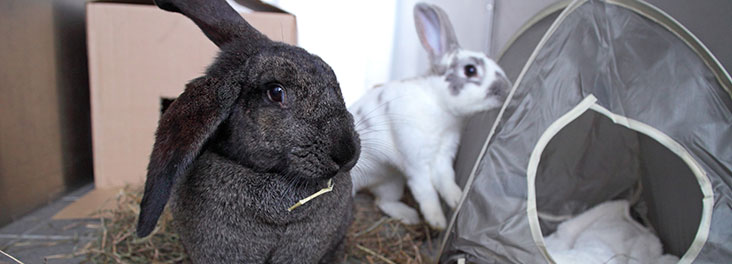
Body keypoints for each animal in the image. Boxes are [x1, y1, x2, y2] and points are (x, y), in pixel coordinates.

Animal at [348, 2, 508, 229]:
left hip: (392, 182)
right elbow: (426, 191)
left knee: (383, 201)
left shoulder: (443, 157)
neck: (439, 107)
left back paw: (409, 216)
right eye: (470, 70)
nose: (506, 89)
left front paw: (457, 200)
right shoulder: (416, 162)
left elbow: (446, 180)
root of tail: (367, 184)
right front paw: (437, 221)